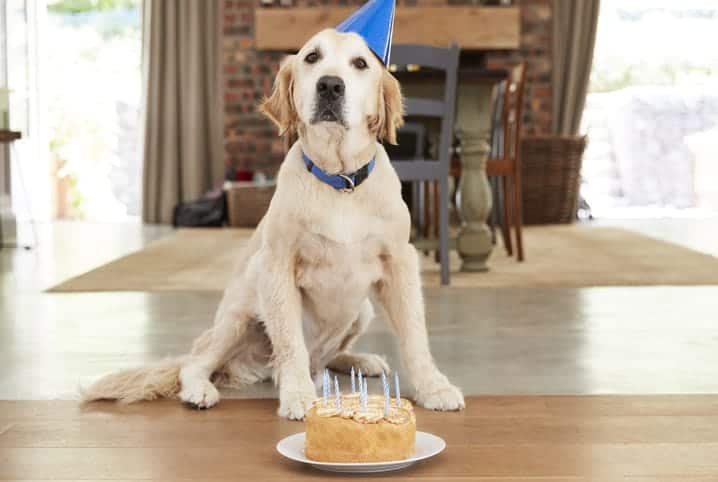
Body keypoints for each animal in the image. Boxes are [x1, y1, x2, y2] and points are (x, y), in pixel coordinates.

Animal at [84, 29, 466, 418]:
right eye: (312, 57)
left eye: (360, 63)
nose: (330, 85)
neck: (340, 181)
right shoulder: (277, 264)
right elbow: (290, 340)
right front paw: (297, 394)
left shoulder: (399, 260)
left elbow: (415, 335)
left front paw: (433, 387)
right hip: (239, 312)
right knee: (195, 363)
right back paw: (202, 390)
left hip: (362, 310)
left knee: (326, 359)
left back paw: (361, 360)